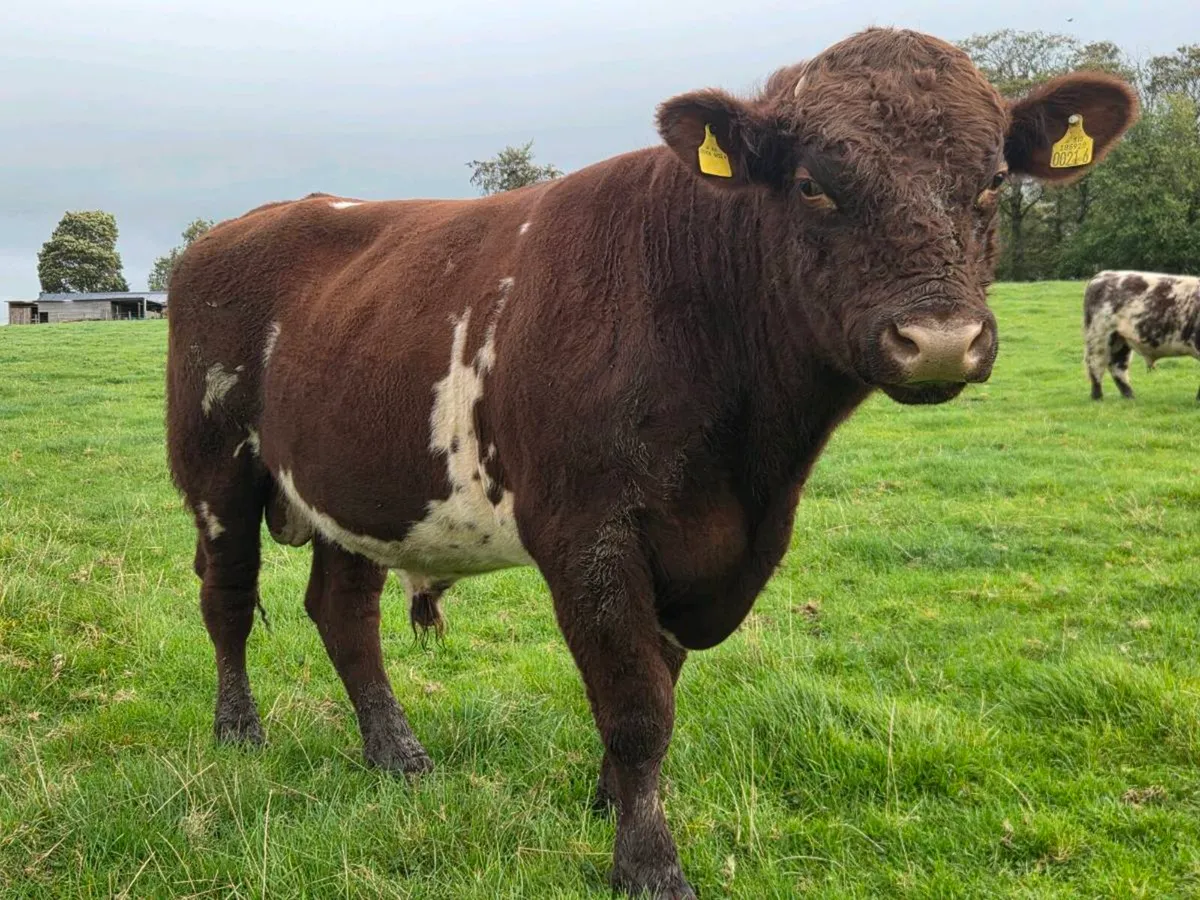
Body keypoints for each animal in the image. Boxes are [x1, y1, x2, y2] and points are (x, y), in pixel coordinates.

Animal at [165, 28, 1136, 898]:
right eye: (813, 183)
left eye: (993, 180)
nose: (938, 339)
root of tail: (246, 224)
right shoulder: (588, 530)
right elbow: (636, 704)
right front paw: (648, 864)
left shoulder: (706, 543)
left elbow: (658, 678)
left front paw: (608, 804)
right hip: (215, 466)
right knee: (228, 599)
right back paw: (240, 735)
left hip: (354, 486)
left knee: (342, 611)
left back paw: (397, 755)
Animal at [1084, 270, 1200, 401]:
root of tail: (1104, 274)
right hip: (1099, 336)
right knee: (1096, 364)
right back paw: (1098, 397)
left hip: (1120, 340)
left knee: (1117, 366)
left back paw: (1129, 396)